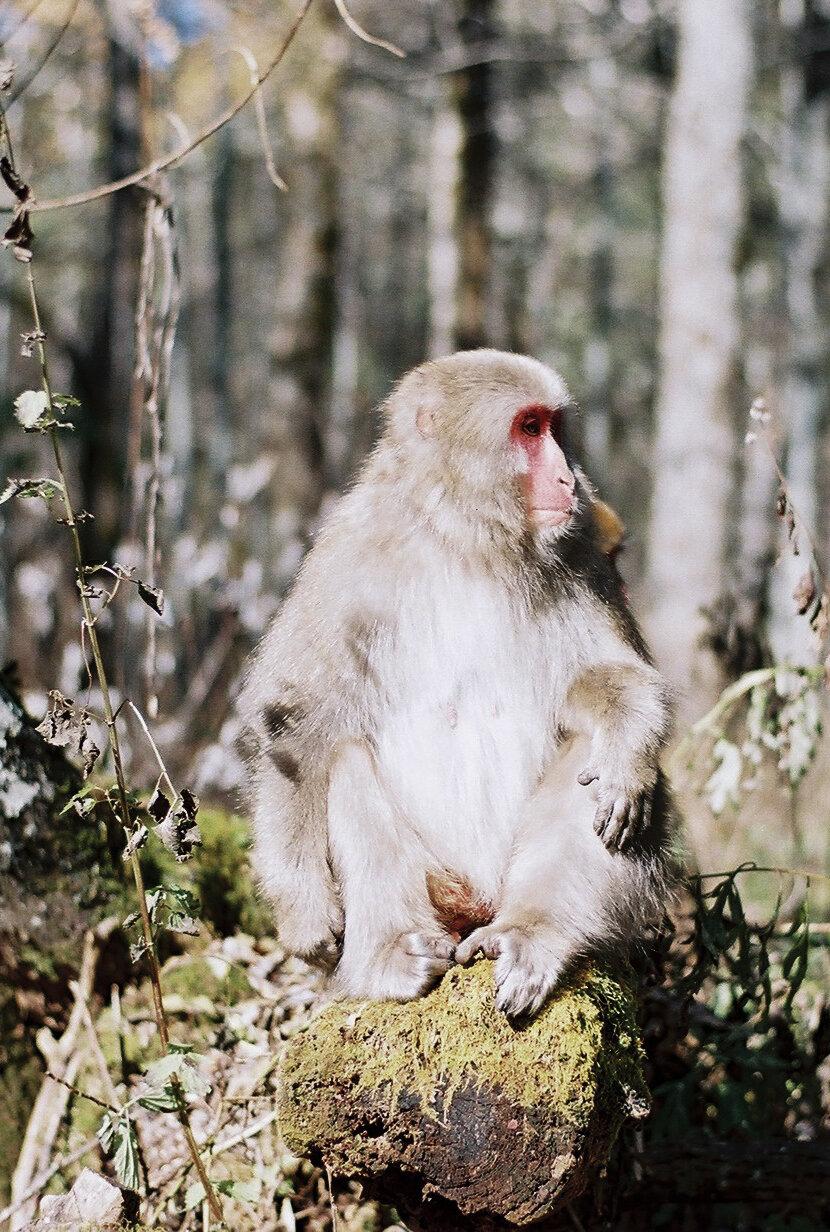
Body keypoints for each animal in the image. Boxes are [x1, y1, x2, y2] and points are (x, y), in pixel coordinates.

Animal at [237, 349, 676, 1020]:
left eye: (555, 427)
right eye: (529, 428)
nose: (569, 481)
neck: (463, 538)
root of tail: (478, 904)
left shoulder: (581, 555)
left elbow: (607, 677)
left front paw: (628, 749)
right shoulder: (348, 555)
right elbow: (297, 719)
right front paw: (304, 910)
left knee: (594, 763)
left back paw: (530, 932)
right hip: (440, 884)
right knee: (345, 761)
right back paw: (391, 958)